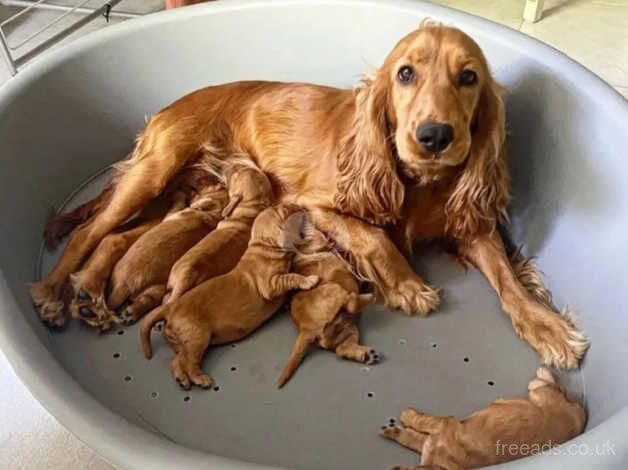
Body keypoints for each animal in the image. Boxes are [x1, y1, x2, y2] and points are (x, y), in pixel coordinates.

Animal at [141, 204, 318, 392]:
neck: (262, 248)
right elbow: (291, 277)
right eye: (286, 210)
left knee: (177, 360)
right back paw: (200, 378)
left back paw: (182, 379)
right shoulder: (270, 284)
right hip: (197, 336)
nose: (301, 207)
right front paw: (309, 280)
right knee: (189, 362)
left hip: (184, 341)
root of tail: (170, 307)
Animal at [278, 224, 376, 390]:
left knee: (341, 350)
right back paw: (368, 297)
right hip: (334, 288)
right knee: (350, 302)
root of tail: (306, 329)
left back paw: (365, 355)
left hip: (348, 329)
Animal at [380, 368, 588, 470]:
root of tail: (580, 410)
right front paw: (393, 430)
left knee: (547, 383)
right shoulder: (431, 439)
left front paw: (407, 415)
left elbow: (423, 422)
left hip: (540, 392)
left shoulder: (444, 424)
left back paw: (543, 370)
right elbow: (412, 438)